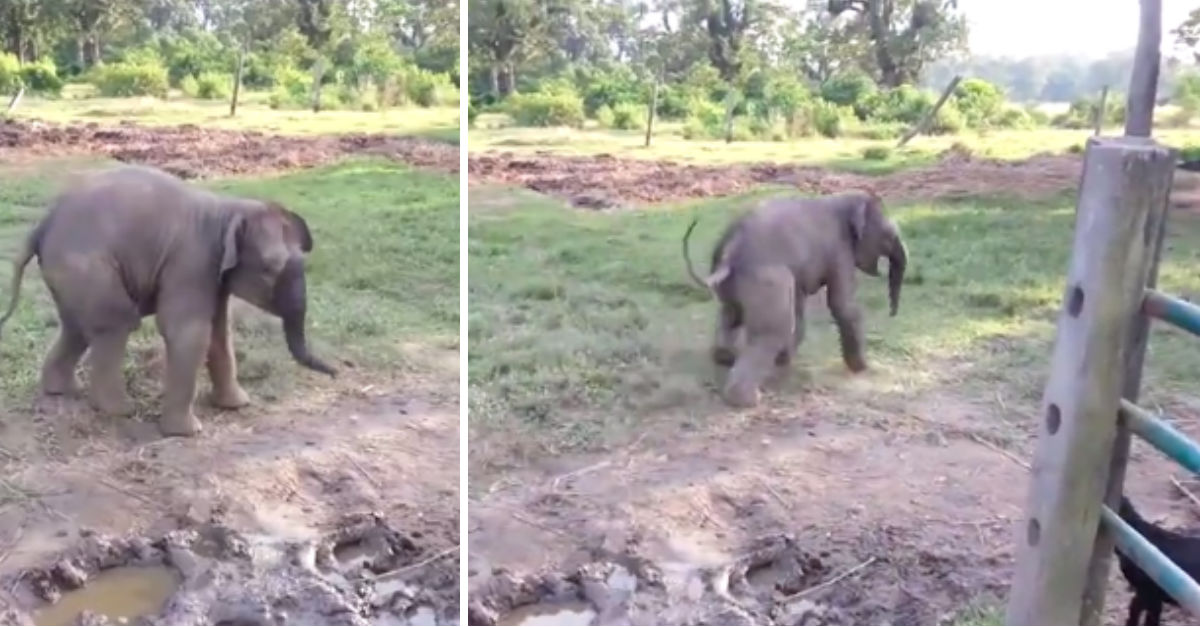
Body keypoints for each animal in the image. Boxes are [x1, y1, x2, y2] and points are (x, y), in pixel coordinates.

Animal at [0, 163, 338, 434]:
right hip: (86, 266)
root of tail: (43, 223)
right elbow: (188, 332)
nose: (336, 372)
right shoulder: (192, 261)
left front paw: (238, 405)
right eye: (270, 268)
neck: (228, 210)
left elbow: (219, 332)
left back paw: (64, 391)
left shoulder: (212, 274)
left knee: (78, 327)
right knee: (116, 322)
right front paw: (188, 433)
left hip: (70, 274)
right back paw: (120, 410)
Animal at [681, 188, 902, 405]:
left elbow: (801, 306)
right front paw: (863, 368)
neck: (844, 199)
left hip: (731, 284)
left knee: (730, 314)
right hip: (767, 281)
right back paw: (750, 400)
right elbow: (842, 306)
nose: (892, 313)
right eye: (888, 236)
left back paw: (726, 358)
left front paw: (783, 359)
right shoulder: (840, 252)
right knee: (772, 331)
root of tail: (731, 248)